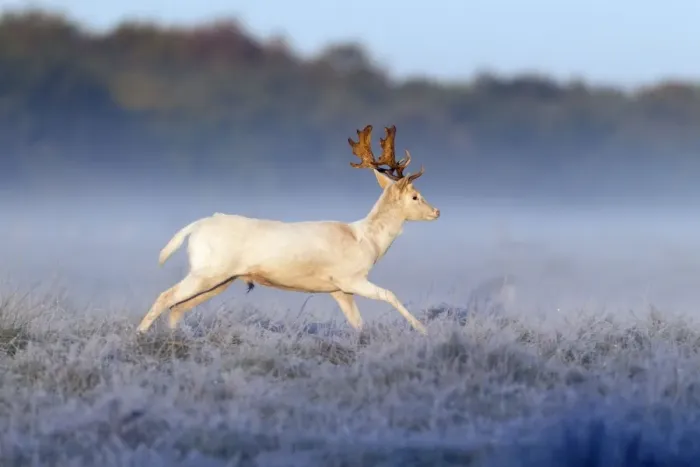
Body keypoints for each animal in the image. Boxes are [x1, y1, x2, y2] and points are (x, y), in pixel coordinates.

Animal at [135, 124, 440, 335]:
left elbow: (358, 324)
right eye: (415, 196)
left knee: (177, 307)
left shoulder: (338, 290)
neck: (366, 241)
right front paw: (423, 330)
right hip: (207, 271)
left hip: (220, 279)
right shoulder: (349, 278)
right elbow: (390, 294)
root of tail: (195, 227)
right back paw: (139, 335)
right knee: (166, 297)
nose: (436, 212)